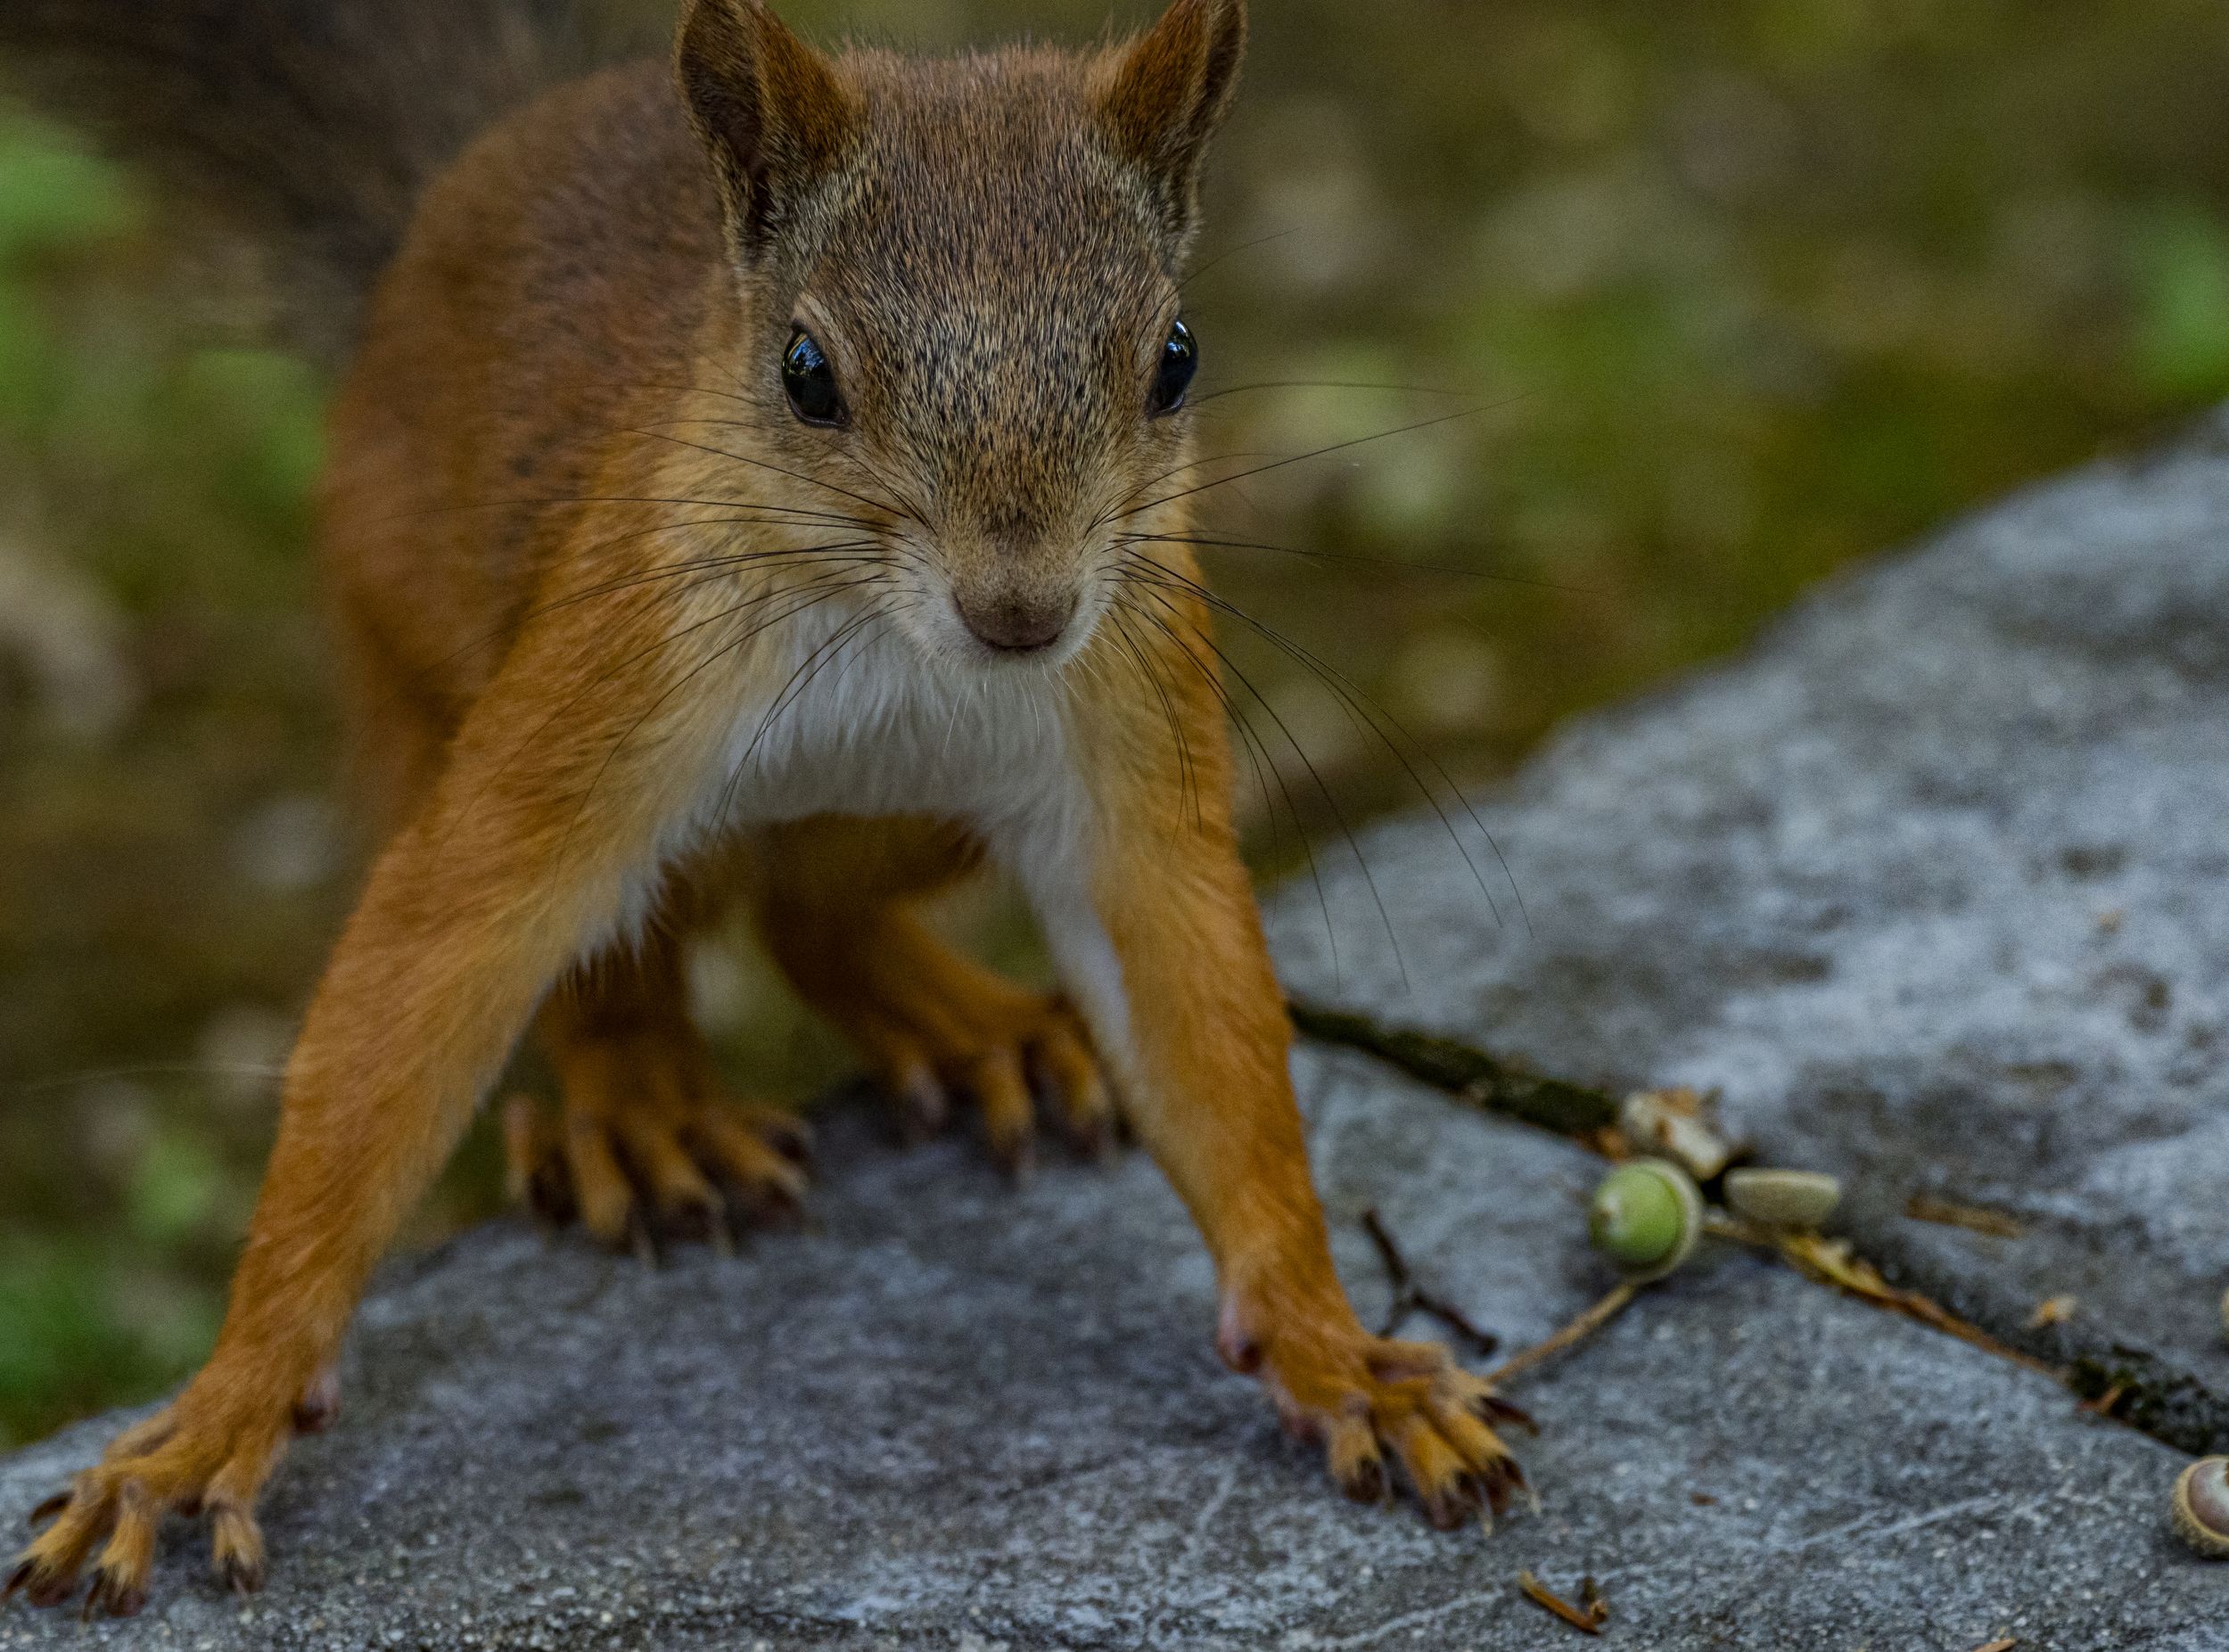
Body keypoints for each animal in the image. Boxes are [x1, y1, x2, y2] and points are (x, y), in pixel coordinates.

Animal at [2, 0, 1530, 1617]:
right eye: (807, 371)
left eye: (1177, 358)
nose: (1021, 610)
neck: (888, 640)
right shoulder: (603, 670)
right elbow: (444, 944)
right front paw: (223, 1407)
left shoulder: (1131, 710)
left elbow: (1195, 1006)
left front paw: (1334, 1350)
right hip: (415, 663)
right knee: (619, 950)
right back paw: (649, 1108)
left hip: (912, 815)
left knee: (812, 913)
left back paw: (972, 1026)